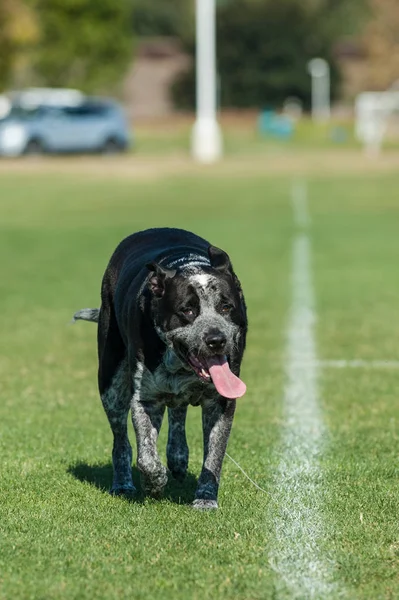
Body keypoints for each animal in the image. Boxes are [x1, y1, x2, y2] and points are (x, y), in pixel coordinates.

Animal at [74, 227, 248, 508]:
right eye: (187, 310)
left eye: (226, 306)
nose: (216, 340)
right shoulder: (145, 398)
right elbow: (146, 457)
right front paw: (154, 483)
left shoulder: (221, 400)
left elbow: (214, 454)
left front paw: (205, 499)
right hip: (110, 383)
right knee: (121, 440)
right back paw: (123, 484)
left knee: (178, 412)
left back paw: (178, 459)